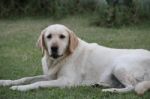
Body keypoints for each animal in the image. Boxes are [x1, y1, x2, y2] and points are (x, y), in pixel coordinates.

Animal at [0, 24, 150, 95]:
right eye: (49, 36)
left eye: (62, 36)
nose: (54, 48)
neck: (58, 60)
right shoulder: (50, 76)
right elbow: (26, 78)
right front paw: (6, 82)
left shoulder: (66, 81)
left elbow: (38, 83)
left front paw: (20, 88)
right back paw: (98, 85)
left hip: (119, 66)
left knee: (131, 87)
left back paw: (110, 91)